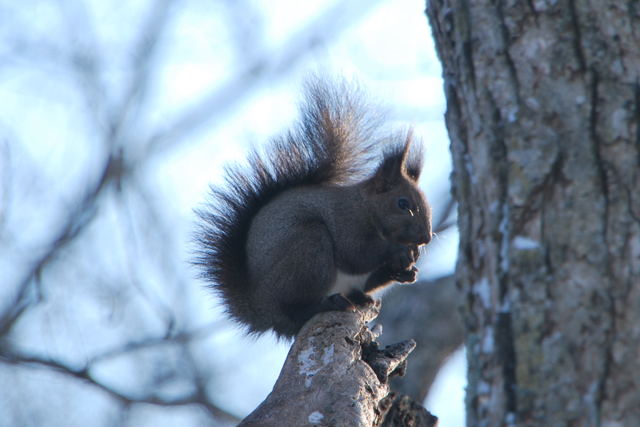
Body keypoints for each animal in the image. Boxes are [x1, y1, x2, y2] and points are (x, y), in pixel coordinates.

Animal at [194, 75, 430, 340]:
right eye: (403, 204)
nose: (426, 238)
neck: (365, 206)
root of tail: (260, 310)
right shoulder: (347, 221)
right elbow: (356, 254)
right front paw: (400, 251)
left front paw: (408, 265)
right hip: (308, 248)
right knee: (295, 309)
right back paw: (326, 304)